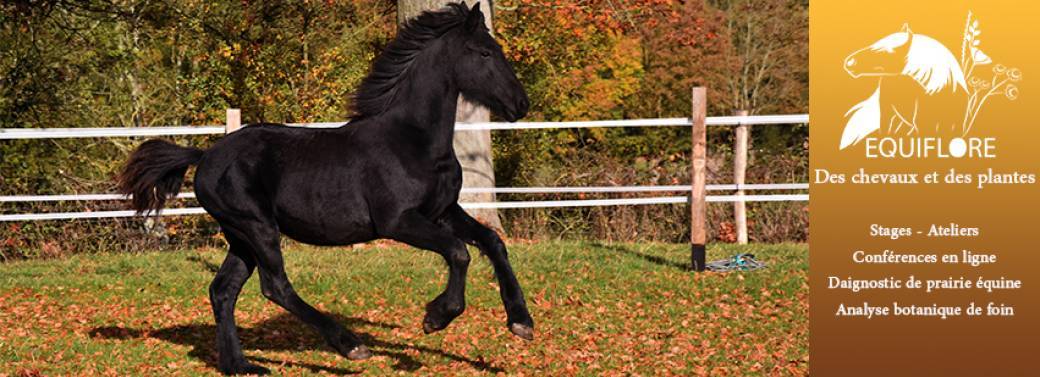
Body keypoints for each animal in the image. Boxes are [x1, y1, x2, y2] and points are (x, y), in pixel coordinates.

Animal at [118, 2, 532, 374]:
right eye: (484, 52)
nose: (521, 104)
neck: (413, 140)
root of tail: (204, 156)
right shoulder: (399, 221)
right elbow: (459, 252)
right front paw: (436, 317)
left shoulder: (443, 211)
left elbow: (493, 242)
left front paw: (521, 322)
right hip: (257, 227)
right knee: (275, 286)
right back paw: (350, 346)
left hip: (240, 237)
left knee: (223, 291)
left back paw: (241, 366)